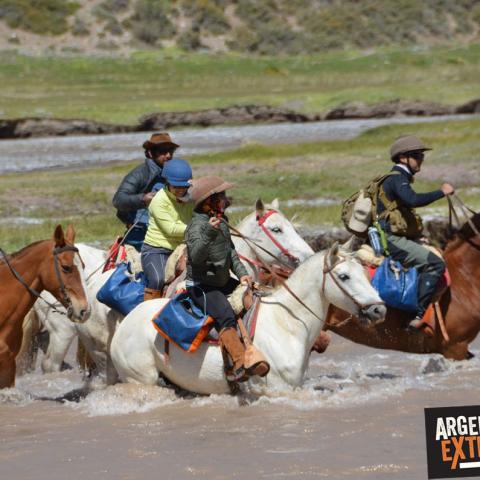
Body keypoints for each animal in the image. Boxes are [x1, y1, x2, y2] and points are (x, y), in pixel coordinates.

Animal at [109, 244, 386, 394]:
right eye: (344, 276)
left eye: (364, 273)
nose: (379, 310)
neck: (287, 325)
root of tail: (126, 322)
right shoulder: (278, 387)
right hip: (141, 378)